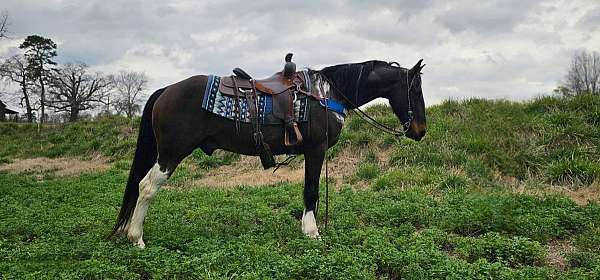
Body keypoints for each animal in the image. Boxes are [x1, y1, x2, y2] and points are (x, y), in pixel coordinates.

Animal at [108, 57, 426, 247]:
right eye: (415, 90)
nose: (420, 130)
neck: (326, 95)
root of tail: (166, 90)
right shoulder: (315, 150)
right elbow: (311, 190)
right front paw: (312, 232)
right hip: (170, 153)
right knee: (147, 187)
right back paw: (136, 238)